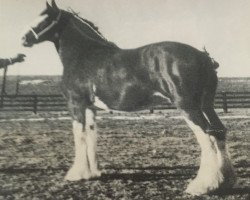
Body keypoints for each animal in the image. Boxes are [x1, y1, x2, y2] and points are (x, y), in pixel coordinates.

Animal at [22, 0, 236, 195]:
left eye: (44, 19)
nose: (24, 39)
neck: (84, 55)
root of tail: (202, 56)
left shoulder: (76, 104)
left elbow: (79, 136)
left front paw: (76, 174)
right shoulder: (90, 107)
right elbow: (91, 135)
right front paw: (92, 173)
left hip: (188, 107)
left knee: (207, 137)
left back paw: (202, 186)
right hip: (206, 105)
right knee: (219, 132)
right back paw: (225, 180)